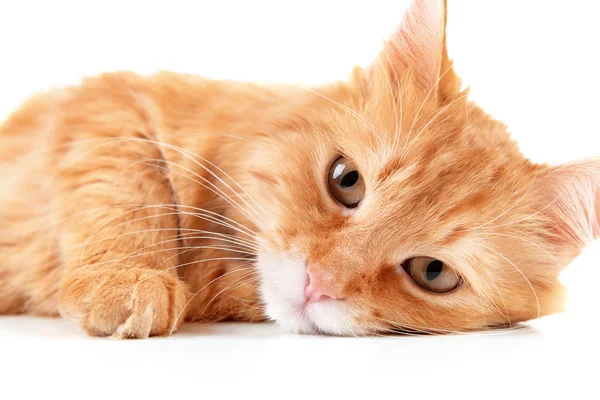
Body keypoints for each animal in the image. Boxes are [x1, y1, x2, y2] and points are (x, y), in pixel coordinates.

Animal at [0, 0, 596, 340]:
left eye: (433, 273)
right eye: (346, 181)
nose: (319, 283)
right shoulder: (107, 106)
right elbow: (130, 193)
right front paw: (126, 280)